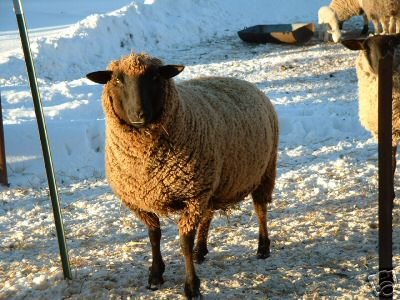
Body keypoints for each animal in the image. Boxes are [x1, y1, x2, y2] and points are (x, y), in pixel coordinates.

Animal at [86, 52, 280, 298]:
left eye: (155, 77)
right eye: (118, 80)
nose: (139, 114)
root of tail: (245, 82)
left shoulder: (193, 195)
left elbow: (184, 243)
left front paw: (191, 286)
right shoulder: (143, 200)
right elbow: (154, 237)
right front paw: (155, 275)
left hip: (264, 170)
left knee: (260, 209)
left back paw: (263, 247)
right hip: (211, 184)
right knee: (208, 215)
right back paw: (201, 250)